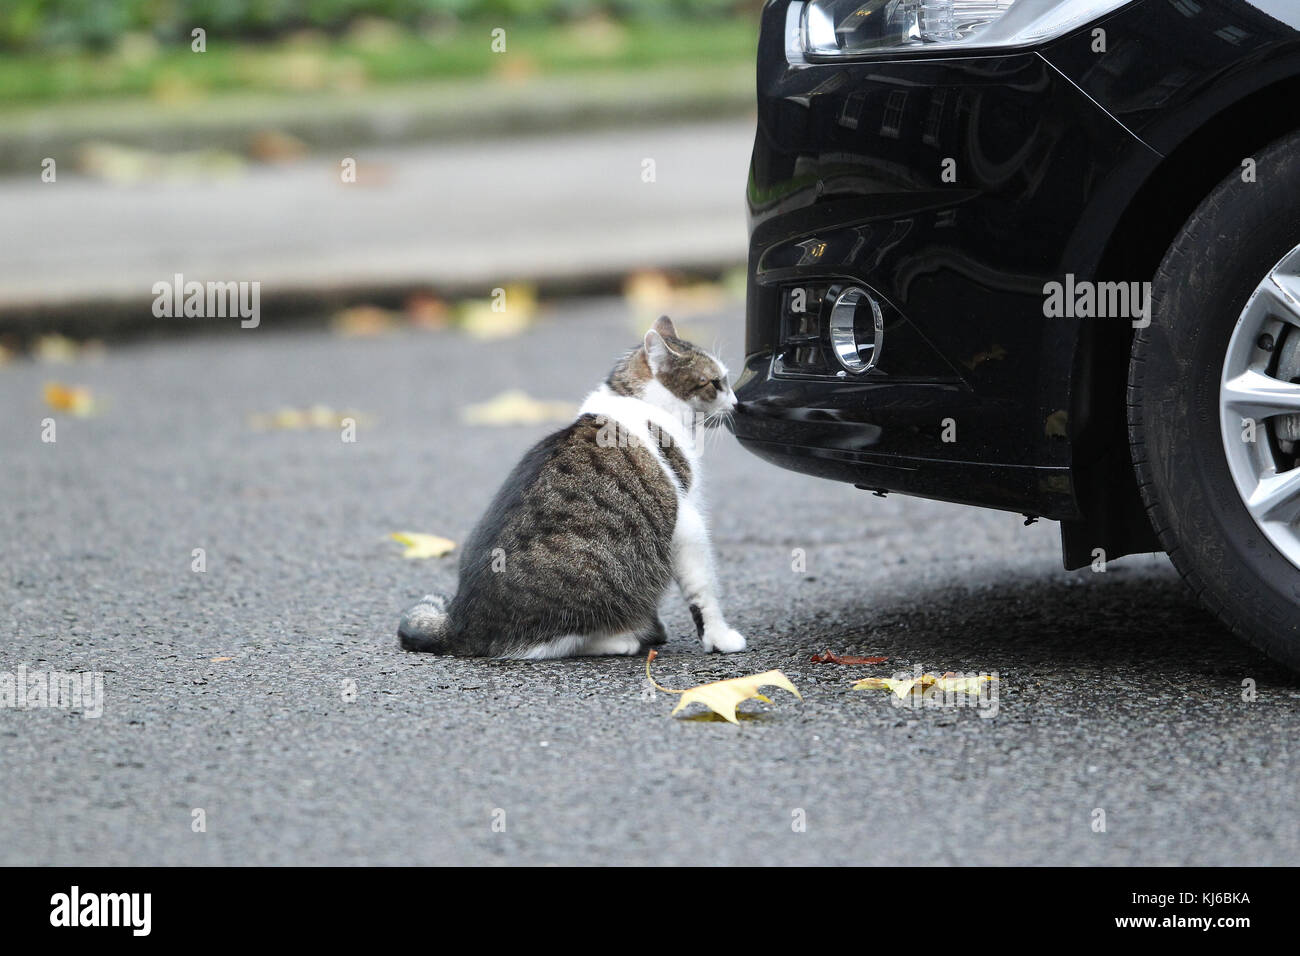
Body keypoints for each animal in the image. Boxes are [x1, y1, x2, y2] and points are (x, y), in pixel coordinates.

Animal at [400, 314, 754, 658]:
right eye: (715, 383)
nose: (738, 403)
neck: (634, 397)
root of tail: (460, 624)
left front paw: (656, 628)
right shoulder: (687, 523)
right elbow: (704, 593)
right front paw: (719, 638)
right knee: (551, 645)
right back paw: (622, 640)